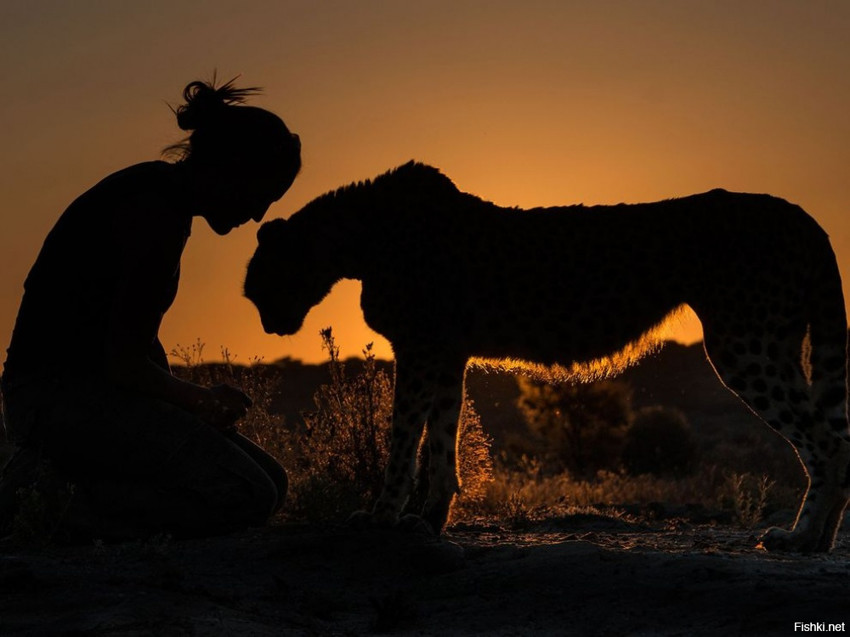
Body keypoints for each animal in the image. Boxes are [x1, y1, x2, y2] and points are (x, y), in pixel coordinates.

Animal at [245, 160, 848, 552]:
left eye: (257, 283)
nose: (269, 325)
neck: (362, 236)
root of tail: (801, 214)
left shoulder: (421, 349)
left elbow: (402, 437)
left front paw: (380, 517)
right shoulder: (446, 354)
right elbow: (441, 439)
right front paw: (426, 518)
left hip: (744, 343)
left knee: (826, 440)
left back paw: (801, 537)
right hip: (776, 341)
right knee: (831, 434)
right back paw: (818, 539)